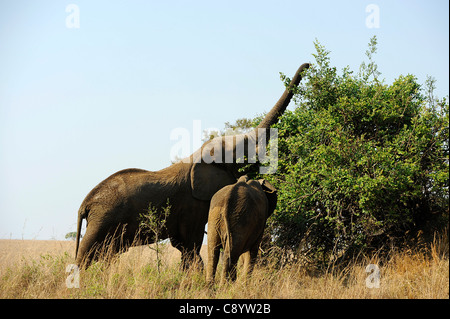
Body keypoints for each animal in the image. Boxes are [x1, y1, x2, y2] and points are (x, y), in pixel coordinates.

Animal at [74, 62, 310, 268]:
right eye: (240, 154)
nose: (308, 64)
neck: (198, 155)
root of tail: (84, 204)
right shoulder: (191, 203)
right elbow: (190, 244)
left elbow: (184, 246)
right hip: (103, 218)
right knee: (87, 254)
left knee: (106, 254)